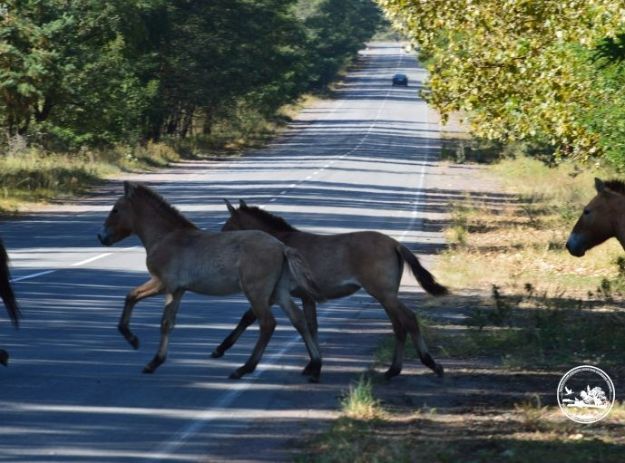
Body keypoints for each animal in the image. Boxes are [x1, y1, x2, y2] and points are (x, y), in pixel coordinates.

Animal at [98, 183, 322, 382]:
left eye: (115, 210)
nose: (101, 237)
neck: (166, 237)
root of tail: (282, 247)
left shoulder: (164, 284)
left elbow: (137, 300)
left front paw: (134, 342)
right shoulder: (178, 290)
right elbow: (164, 320)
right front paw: (152, 359)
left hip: (256, 292)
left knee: (268, 324)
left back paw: (243, 369)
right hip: (278, 292)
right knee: (299, 320)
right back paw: (315, 366)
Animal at [217, 201, 446, 378]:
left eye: (228, 226)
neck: (280, 243)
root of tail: (394, 244)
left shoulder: (274, 293)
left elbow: (248, 317)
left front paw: (221, 349)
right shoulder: (305, 297)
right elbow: (311, 326)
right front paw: (313, 365)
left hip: (384, 294)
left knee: (409, 320)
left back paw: (431, 364)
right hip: (386, 296)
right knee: (399, 326)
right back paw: (393, 370)